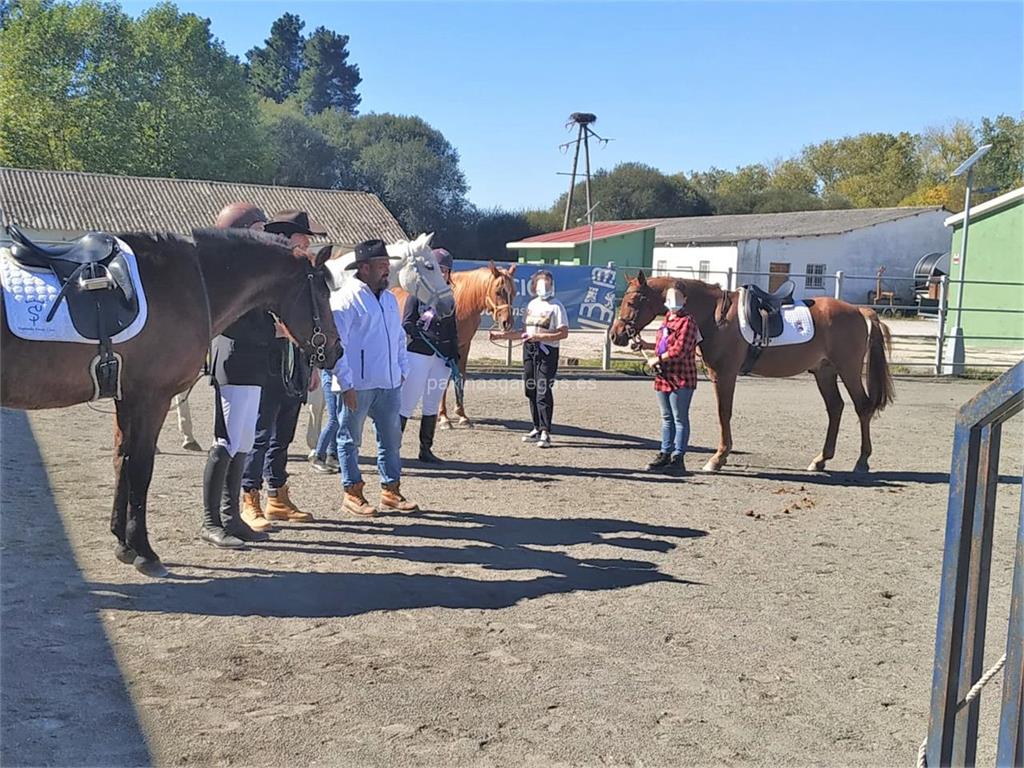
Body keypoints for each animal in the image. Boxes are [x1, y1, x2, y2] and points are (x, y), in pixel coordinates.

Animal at [0, 228, 344, 577]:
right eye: (323, 293)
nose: (336, 349)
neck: (191, 281)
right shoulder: (152, 399)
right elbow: (140, 469)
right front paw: (144, 552)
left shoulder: (127, 398)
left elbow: (121, 462)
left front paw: (123, 544)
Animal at [610, 270, 892, 475]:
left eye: (632, 301)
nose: (616, 335)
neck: (715, 315)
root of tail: (859, 310)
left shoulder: (724, 374)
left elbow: (724, 413)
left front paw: (718, 458)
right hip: (824, 372)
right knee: (835, 408)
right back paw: (820, 460)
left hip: (848, 369)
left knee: (862, 407)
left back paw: (862, 461)